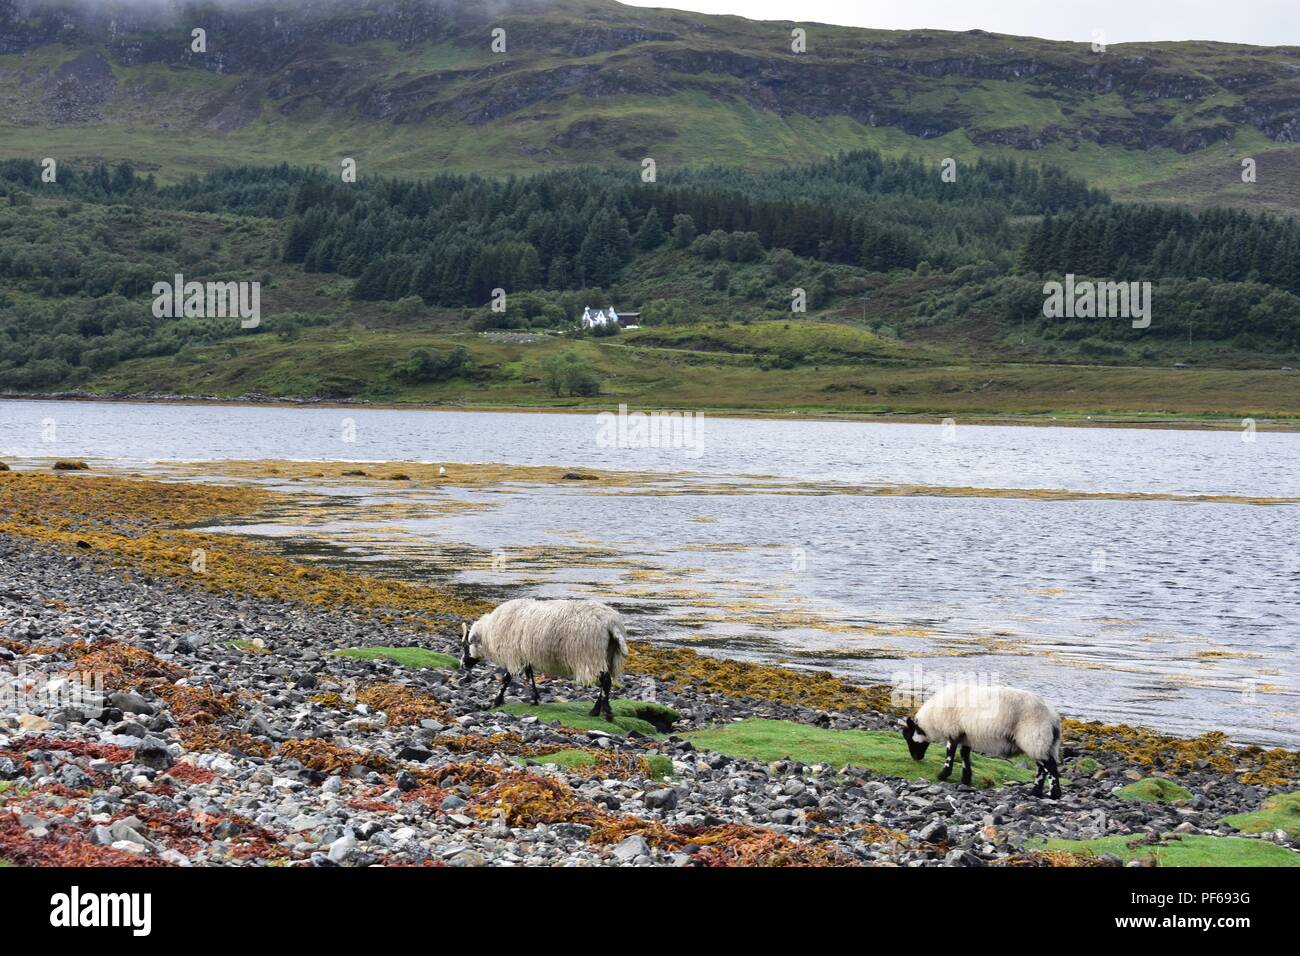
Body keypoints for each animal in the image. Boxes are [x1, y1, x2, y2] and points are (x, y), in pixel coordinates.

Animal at [462, 598, 629, 717]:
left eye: (467, 644)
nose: (463, 665)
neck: (488, 632)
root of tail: (611, 623)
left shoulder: (513, 654)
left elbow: (506, 678)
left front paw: (496, 701)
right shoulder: (525, 654)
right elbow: (530, 676)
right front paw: (535, 699)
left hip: (591, 655)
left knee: (605, 681)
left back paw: (600, 712)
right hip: (608, 655)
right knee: (607, 681)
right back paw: (602, 710)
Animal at [899, 681, 1060, 801]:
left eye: (908, 737)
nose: (916, 758)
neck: (932, 718)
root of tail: (1052, 716)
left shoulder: (953, 730)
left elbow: (950, 753)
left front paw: (943, 775)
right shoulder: (966, 735)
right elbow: (964, 754)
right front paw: (966, 779)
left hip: (1034, 737)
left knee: (1050, 766)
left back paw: (1054, 794)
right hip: (1043, 742)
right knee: (1042, 768)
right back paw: (1035, 792)